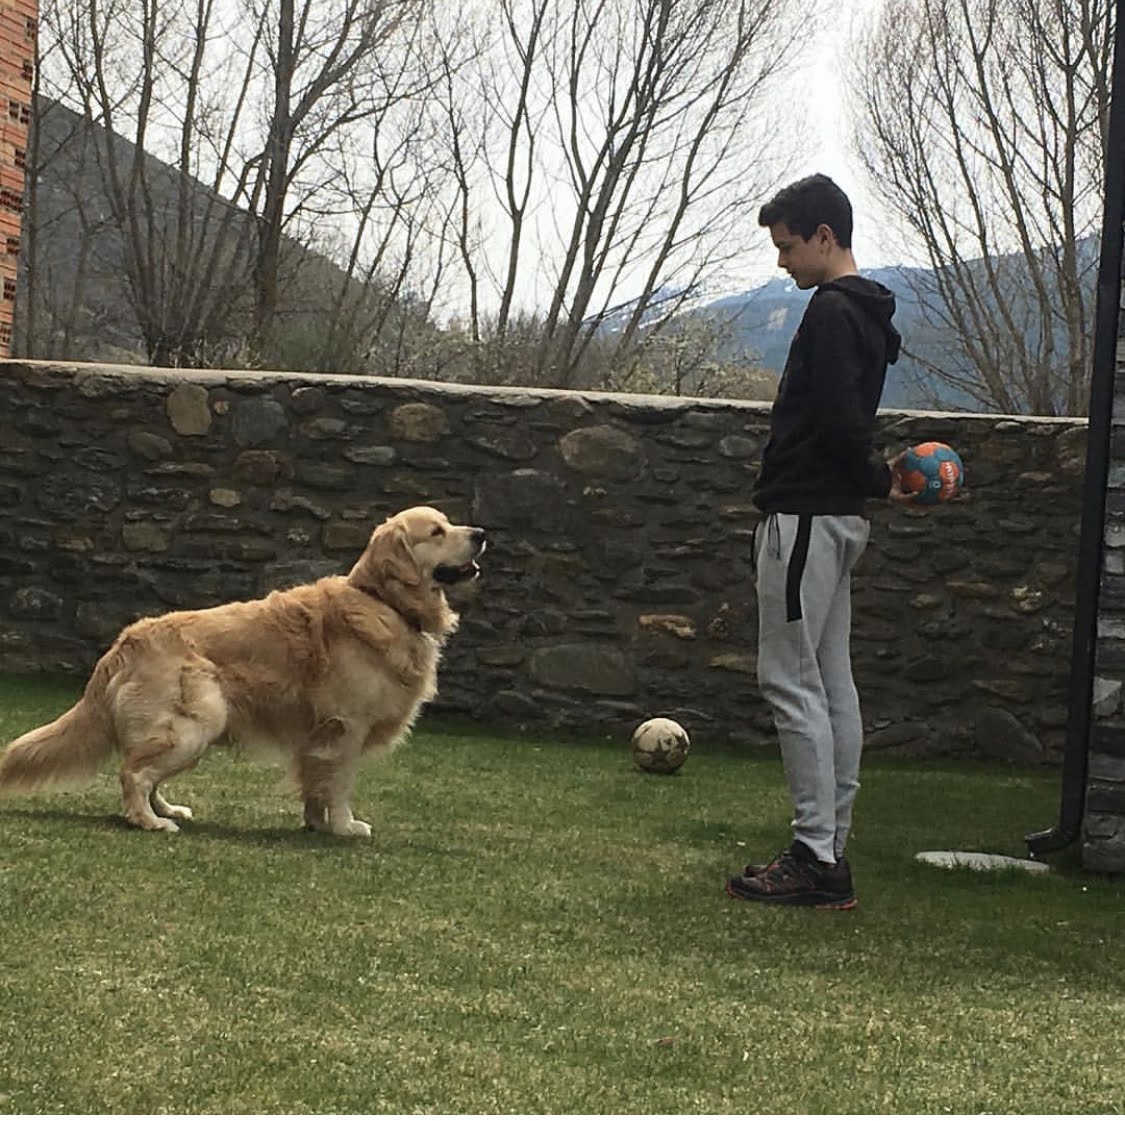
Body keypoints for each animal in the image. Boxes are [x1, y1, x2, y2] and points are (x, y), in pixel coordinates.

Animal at [0, 506, 486, 836]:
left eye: (450, 523)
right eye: (437, 531)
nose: (481, 533)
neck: (383, 602)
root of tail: (123, 645)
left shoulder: (317, 733)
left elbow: (315, 782)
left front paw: (316, 824)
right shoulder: (347, 725)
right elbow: (340, 782)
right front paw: (345, 827)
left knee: (146, 770)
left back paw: (166, 810)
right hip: (199, 720)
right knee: (133, 772)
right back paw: (151, 822)